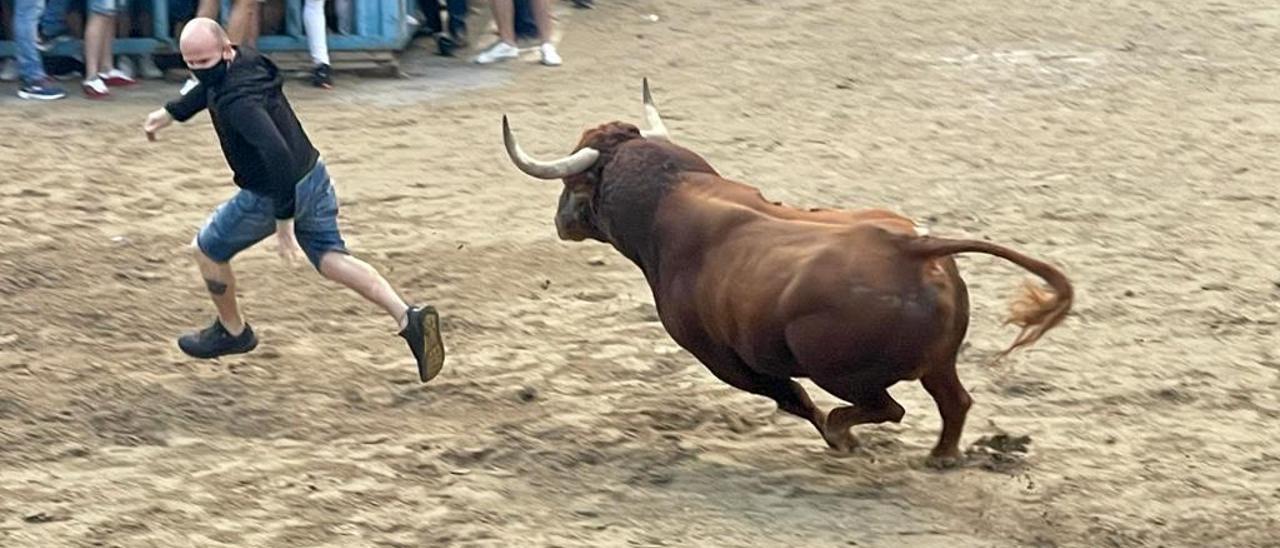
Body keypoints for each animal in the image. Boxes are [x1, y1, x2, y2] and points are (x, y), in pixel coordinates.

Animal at [499, 81, 1070, 466]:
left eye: (576, 185)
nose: (561, 222)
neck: (670, 199)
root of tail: (908, 246)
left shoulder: (727, 361)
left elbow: (792, 400)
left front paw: (837, 437)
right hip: (938, 363)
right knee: (954, 402)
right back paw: (942, 456)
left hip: (840, 372)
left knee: (883, 407)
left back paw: (850, 434)